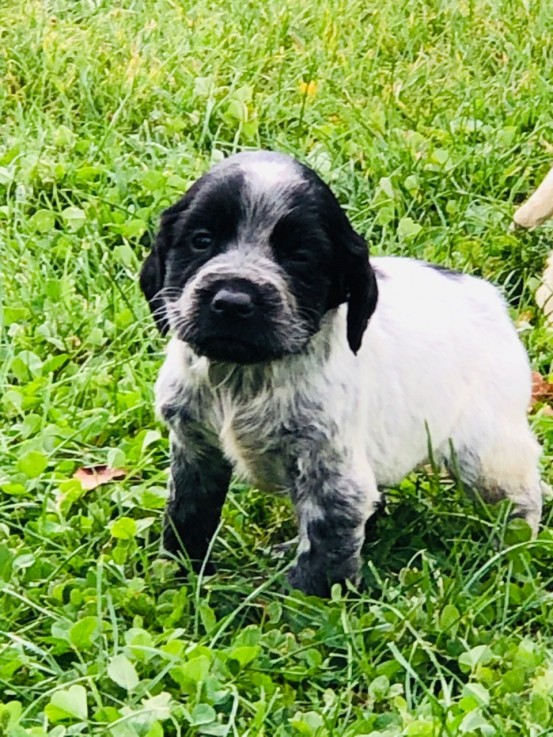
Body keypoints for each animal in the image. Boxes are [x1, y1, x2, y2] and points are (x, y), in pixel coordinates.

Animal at [140, 151, 544, 600]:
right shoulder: (195, 449)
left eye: (299, 257)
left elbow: (321, 561)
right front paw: (178, 576)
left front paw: (300, 609)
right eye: (202, 240)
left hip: (484, 451)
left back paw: (511, 554)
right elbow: (187, 518)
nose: (232, 301)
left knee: (522, 494)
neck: (244, 376)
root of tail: (489, 299)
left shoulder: (330, 474)